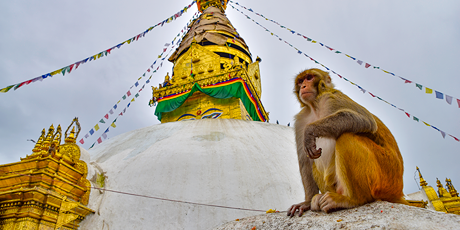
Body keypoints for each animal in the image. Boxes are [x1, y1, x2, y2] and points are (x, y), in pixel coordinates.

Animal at [288, 68, 406, 216]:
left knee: (346, 137)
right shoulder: (301, 119)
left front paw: (310, 131)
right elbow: (306, 162)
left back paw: (352, 199)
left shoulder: (331, 98)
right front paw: (306, 203)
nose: (303, 86)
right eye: (300, 81)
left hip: (385, 177)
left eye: (309, 78)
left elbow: (366, 120)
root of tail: (398, 190)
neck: (315, 107)